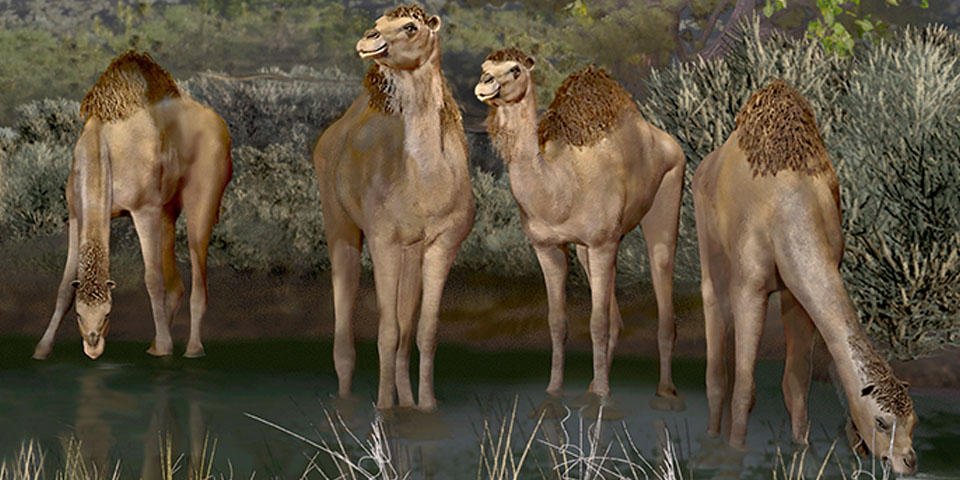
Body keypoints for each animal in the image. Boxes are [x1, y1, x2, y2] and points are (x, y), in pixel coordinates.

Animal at [33, 51, 233, 360]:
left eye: (108, 314)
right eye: (79, 315)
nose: (92, 345)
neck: (100, 144)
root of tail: (221, 125)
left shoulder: (144, 209)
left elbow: (153, 280)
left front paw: (166, 347)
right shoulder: (77, 213)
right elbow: (65, 287)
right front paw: (42, 348)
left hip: (204, 190)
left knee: (197, 267)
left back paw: (192, 348)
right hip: (168, 209)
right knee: (176, 281)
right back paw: (154, 344)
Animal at [312, 4, 474, 411]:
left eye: (411, 27)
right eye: (379, 22)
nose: (369, 38)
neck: (427, 183)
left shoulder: (442, 242)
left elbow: (424, 330)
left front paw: (426, 405)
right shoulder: (382, 238)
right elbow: (386, 330)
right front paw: (384, 407)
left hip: (409, 249)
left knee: (404, 324)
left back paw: (407, 398)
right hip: (339, 222)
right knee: (346, 310)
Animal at [475, 49, 685, 410]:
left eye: (515, 70)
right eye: (486, 67)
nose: (485, 83)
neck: (561, 187)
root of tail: (669, 142)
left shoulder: (603, 243)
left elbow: (597, 323)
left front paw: (602, 397)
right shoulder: (548, 246)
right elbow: (557, 322)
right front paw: (554, 391)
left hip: (668, 192)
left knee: (661, 274)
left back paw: (665, 392)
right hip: (594, 246)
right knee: (615, 318)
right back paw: (591, 384)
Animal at [692, 79, 917, 474]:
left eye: (913, 421)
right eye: (881, 421)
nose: (909, 461)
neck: (790, 206)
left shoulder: (798, 291)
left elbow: (796, 383)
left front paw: (802, 451)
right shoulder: (750, 285)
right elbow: (746, 388)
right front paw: (735, 453)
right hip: (709, 239)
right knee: (713, 306)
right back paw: (712, 437)